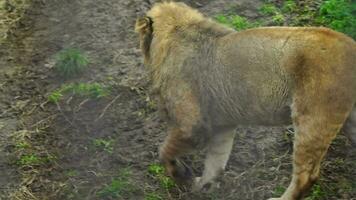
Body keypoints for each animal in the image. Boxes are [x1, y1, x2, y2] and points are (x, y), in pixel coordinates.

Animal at [135, 1, 356, 200]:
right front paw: (204, 186)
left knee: (307, 176)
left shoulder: (192, 126)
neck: (178, 29)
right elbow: (216, 160)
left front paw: (183, 177)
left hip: (312, 119)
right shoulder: (222, 125)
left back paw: (279, 199)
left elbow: (164, 152)